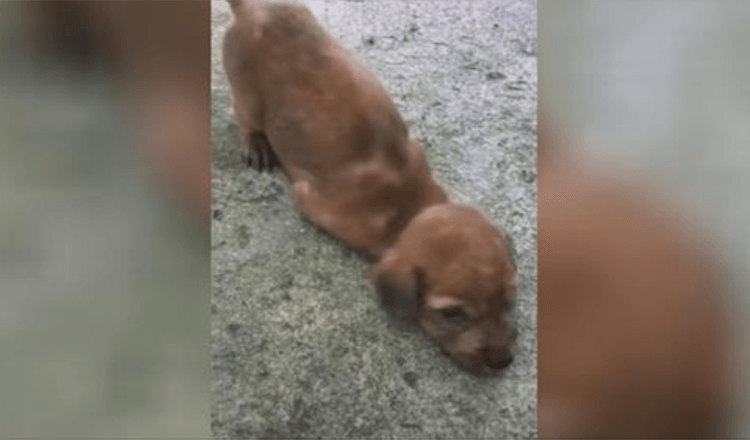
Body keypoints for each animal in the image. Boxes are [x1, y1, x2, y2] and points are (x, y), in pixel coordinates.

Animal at [220, 0, 520, 374]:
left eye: (510, 299)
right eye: (453, 314)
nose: (503, 361)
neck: (408, 210)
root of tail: (253, 10)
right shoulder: (312, 202)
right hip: (245, 94)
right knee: (244, 117)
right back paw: (255, 143)